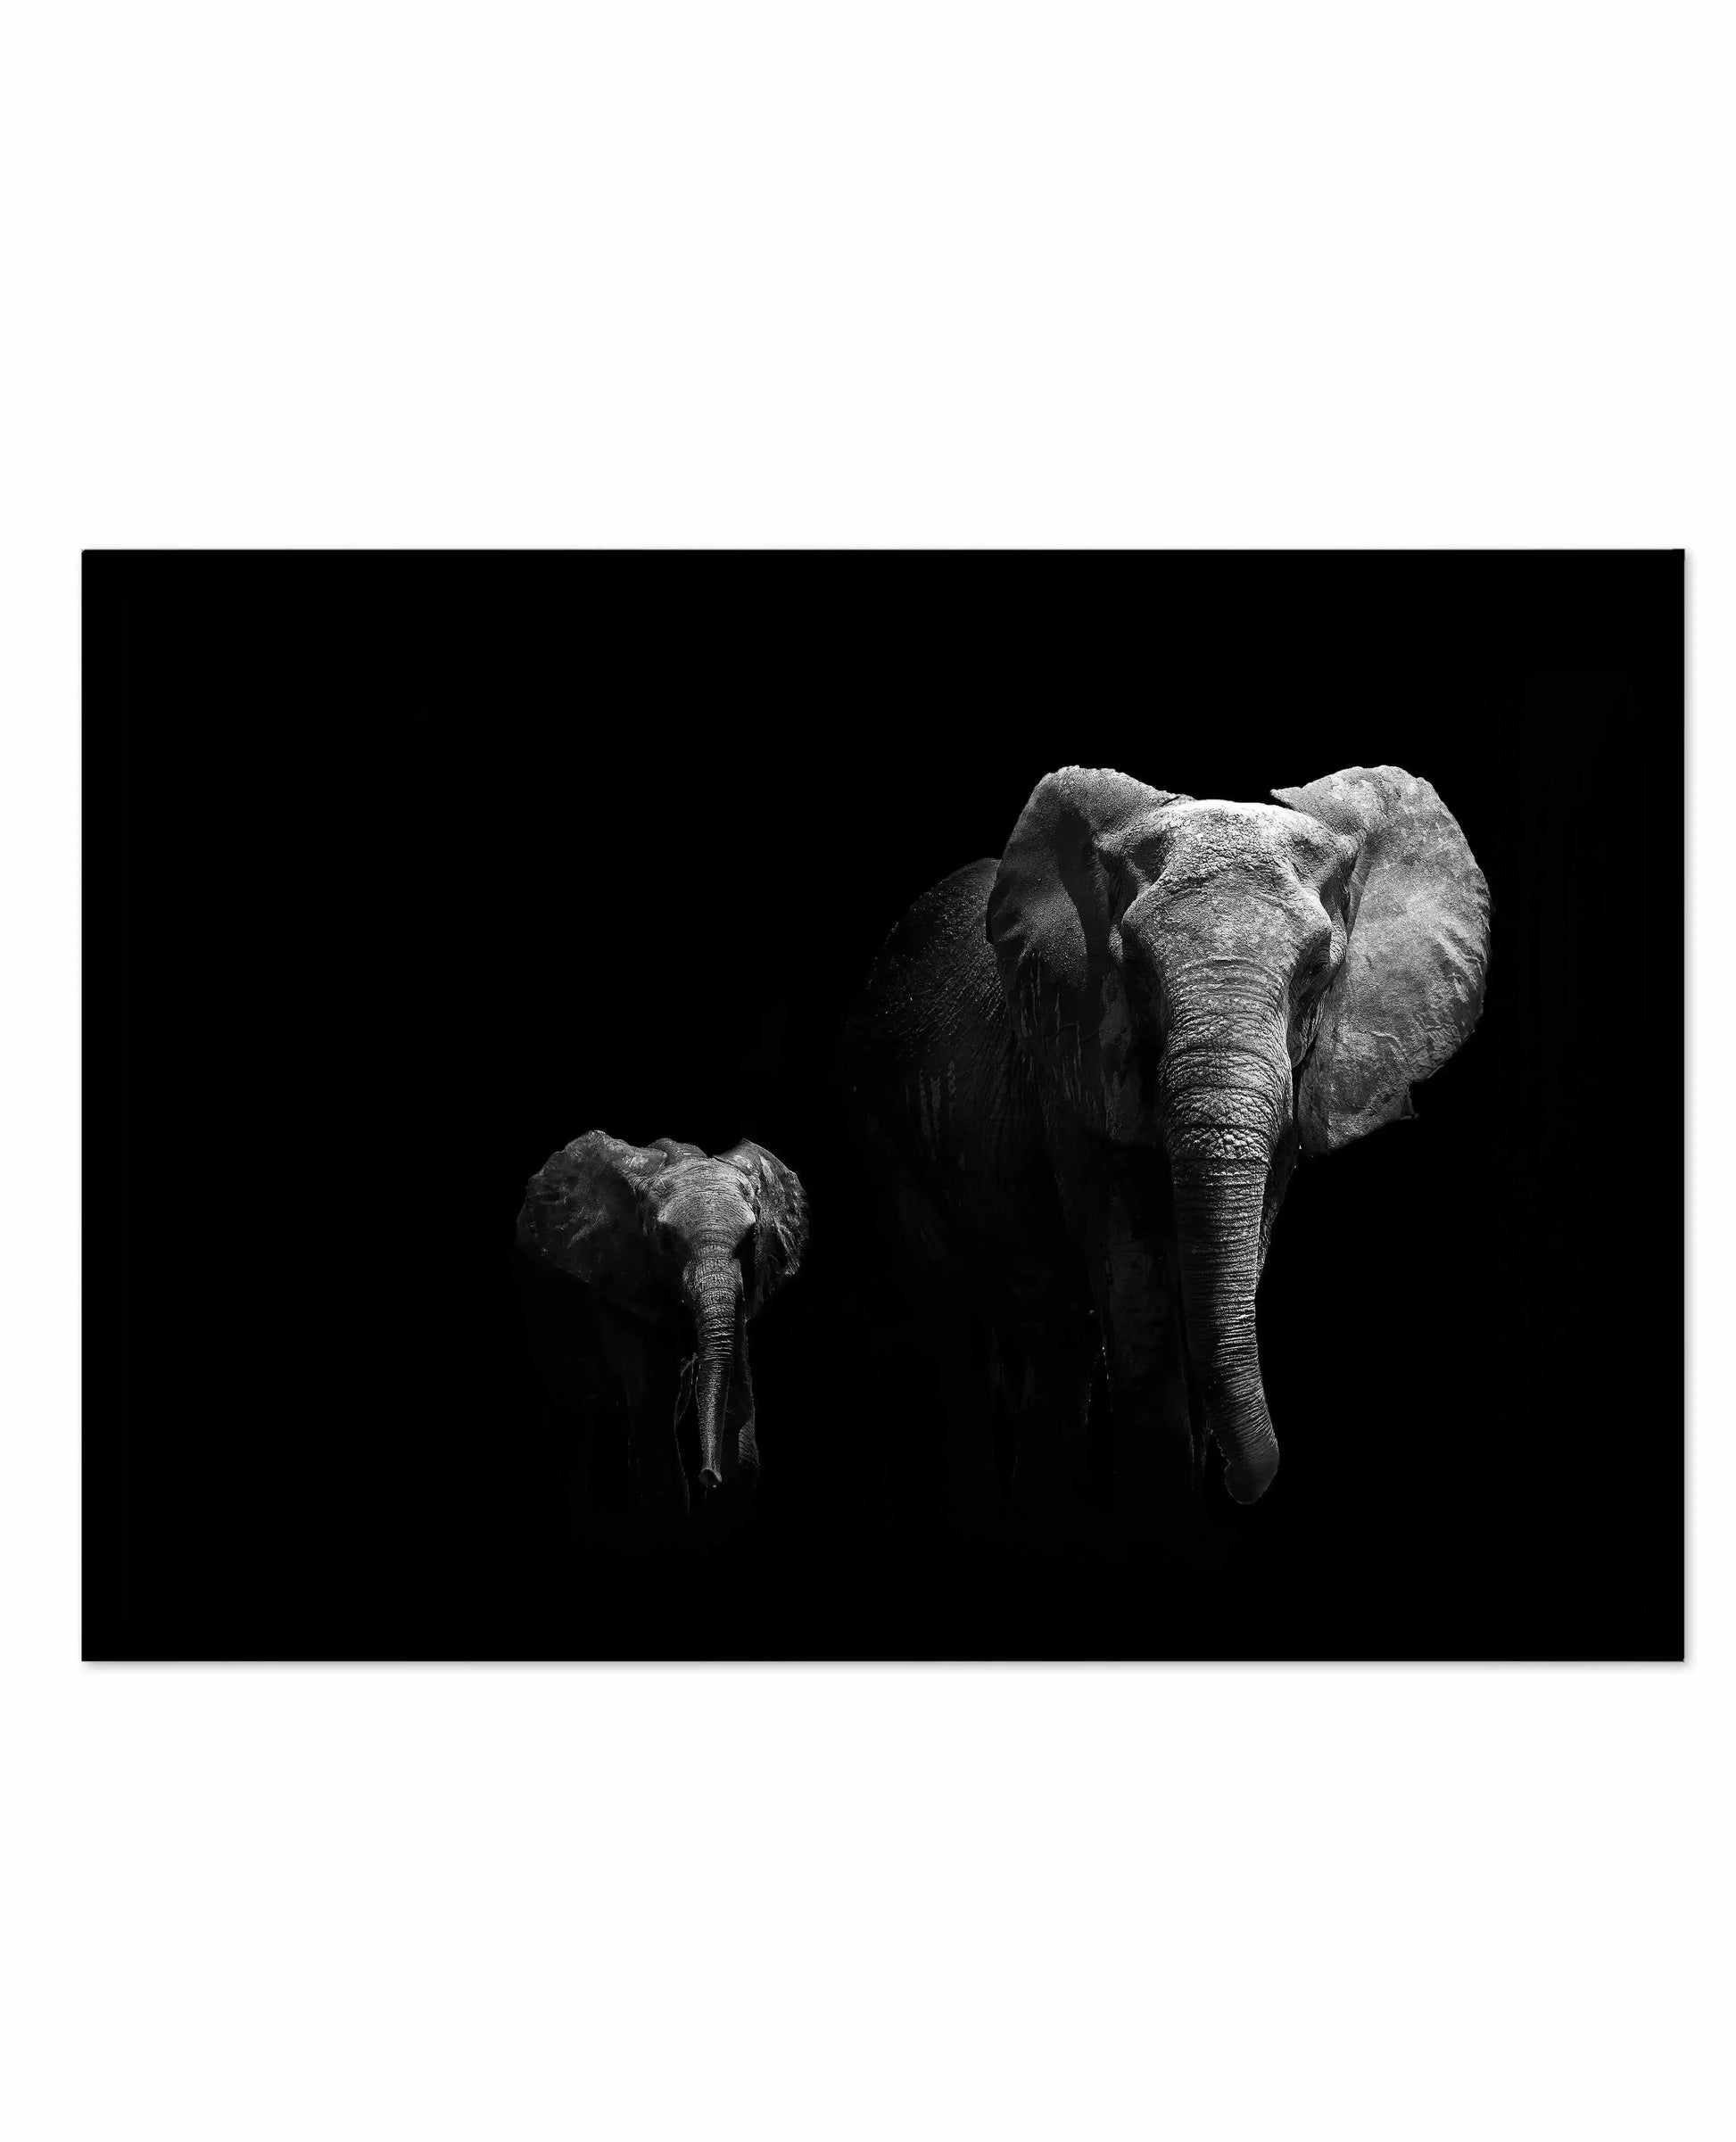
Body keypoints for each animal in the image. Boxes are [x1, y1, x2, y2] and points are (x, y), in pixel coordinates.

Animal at [513, 1132, 809, 1521]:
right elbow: (654, 1415)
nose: (707, 1475)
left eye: (751, 1237)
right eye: (665, 1239)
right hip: (540, 1304)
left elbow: (739, 1434)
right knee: (573, 1412)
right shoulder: (621, 1275)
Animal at [842, 763, 1489, 1522]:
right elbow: (1138, 1295)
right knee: (971, 1332)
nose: (1244, 1483)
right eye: (1137, 971)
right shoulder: (1077, 1069)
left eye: (1314, 971)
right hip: (883, 1127)